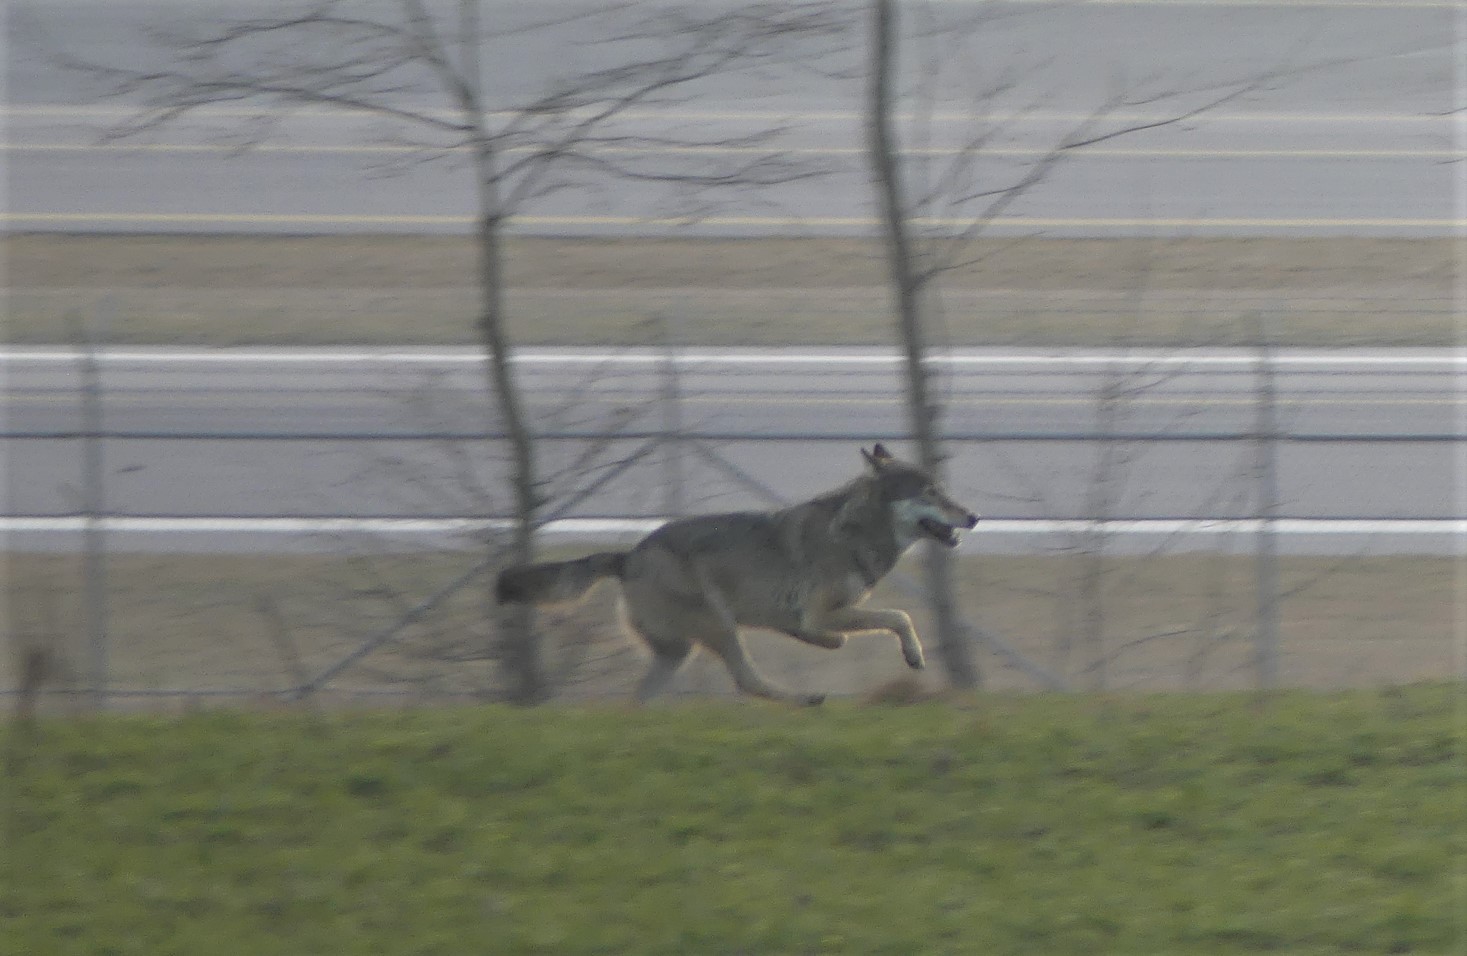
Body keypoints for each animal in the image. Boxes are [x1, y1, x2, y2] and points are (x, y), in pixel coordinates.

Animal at [498, 445, 979, 706]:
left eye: (943, 490)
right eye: (931, 493)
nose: (974, 517)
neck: (855, 532)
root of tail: (628, 556)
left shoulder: (804, 617)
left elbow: (841, 633)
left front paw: (830, 643)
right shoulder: (820, 612)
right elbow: (899, 617)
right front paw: (912, 655)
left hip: (678, 652)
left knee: (639, 700)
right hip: (719, 627)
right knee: (746, 682)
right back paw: (807, 699)